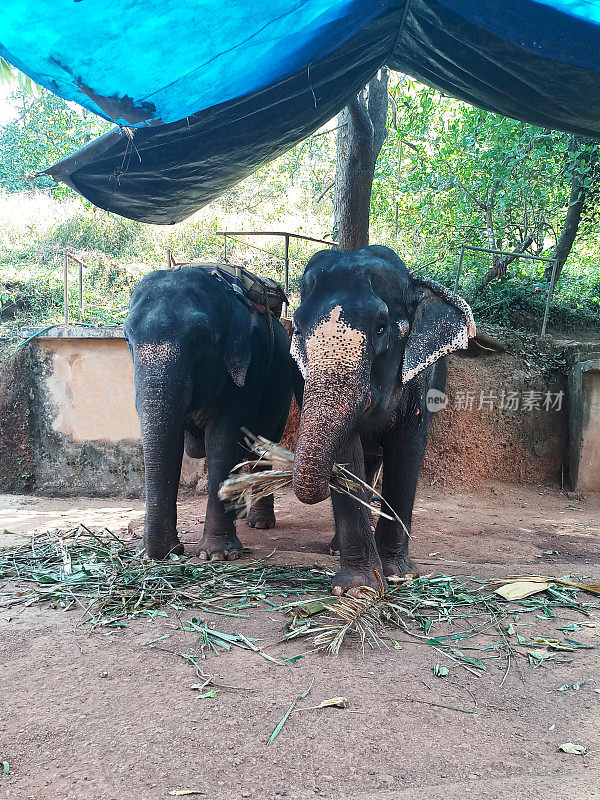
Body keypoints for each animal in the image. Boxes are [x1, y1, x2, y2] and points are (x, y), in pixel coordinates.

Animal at [123, 266, 292, 560]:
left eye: (200, 339)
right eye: (127, 339)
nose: (162, 553)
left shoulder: (248, 370)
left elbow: (221, 443)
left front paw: (217, 555)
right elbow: (171, 444)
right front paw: (157, 553)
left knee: (262, 446)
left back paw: (259, 523)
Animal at [288, 247, 476, 596]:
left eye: (381, 326)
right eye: (297, 329)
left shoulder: (421, 379)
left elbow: (407, 449)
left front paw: (399, 576)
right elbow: (348, 452)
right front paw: (358, 588)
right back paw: (337, 547)